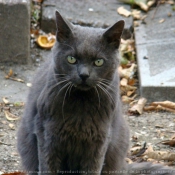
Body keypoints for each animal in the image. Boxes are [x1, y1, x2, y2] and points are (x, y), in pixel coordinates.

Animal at [17, 11, 174, 175]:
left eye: (99, 62)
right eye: (71, 59)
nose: (84, 75)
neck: (81, 105)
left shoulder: (99, 140)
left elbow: (92, 168)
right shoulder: (47, 134)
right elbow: (48, 167)